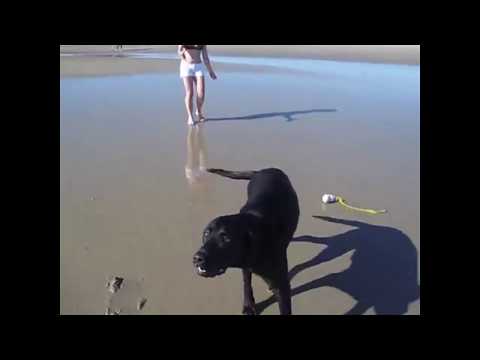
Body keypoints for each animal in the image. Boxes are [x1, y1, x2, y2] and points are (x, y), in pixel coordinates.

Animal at [192, 167, 298, 314]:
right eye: (206, 233)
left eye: (226, 238)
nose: (198, 258)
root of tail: (265, 170)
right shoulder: (246, 267)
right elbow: (246, 283)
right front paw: (248, 306)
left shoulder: (282, 286)